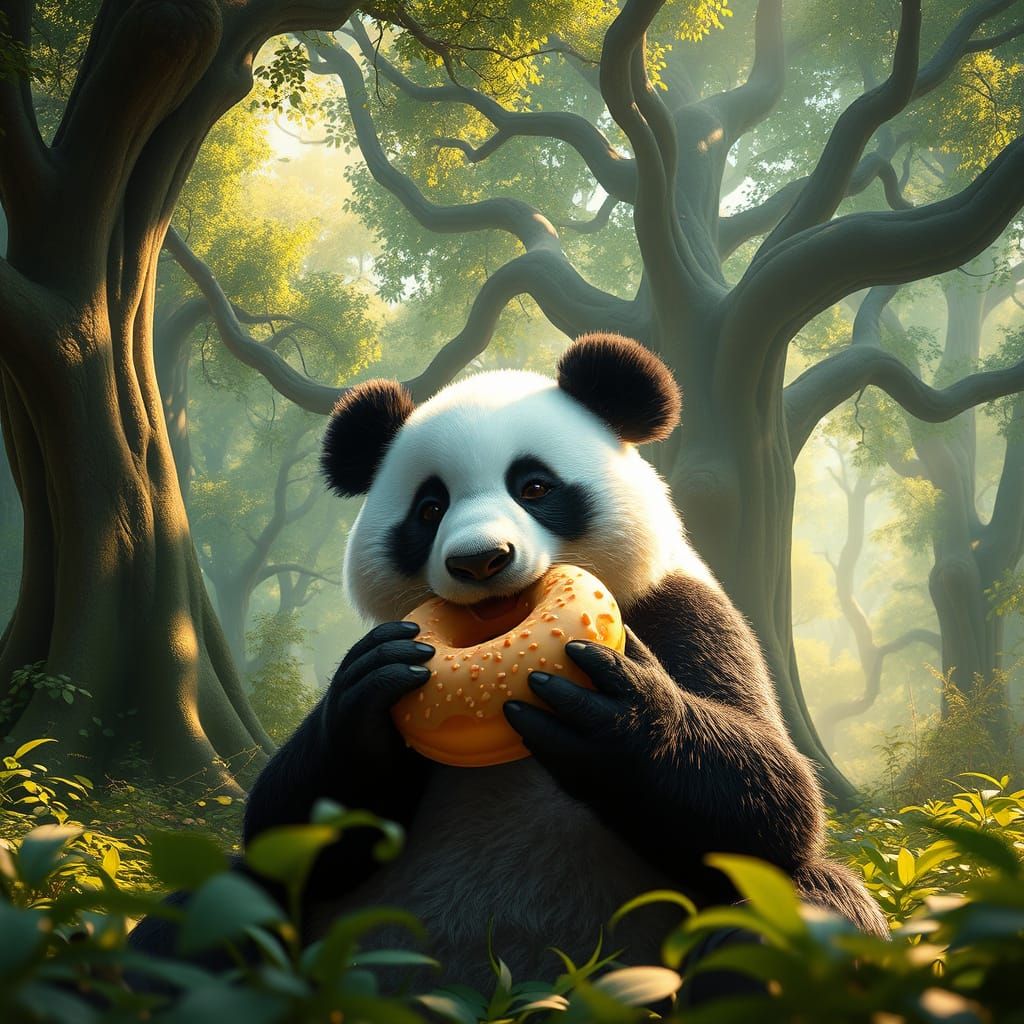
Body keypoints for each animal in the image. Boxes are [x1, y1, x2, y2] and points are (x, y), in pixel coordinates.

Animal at [242, 333, 887, 989]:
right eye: (429, 509)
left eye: (534, 487)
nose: (479, 560)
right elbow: (285, 821)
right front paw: (370, 693)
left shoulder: (680, 607)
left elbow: (775, 799)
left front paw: (617, 709)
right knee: (241, 898)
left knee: (792, 908)